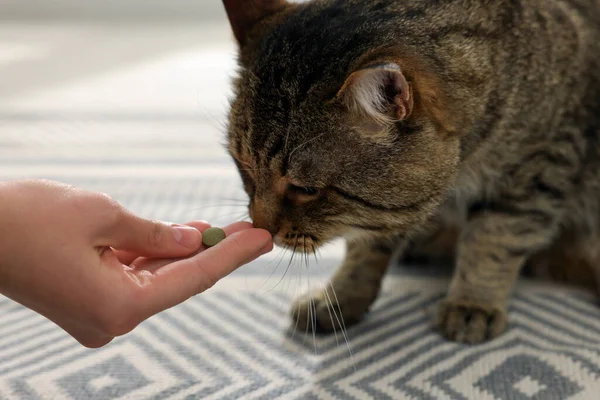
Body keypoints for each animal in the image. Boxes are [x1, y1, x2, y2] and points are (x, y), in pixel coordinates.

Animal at [220, 0, 600, 344]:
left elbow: (493, 239)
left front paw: (472, 301)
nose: (262, 227)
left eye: (305, 189)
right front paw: (339, 296)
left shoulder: (542, 165)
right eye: (243, 168)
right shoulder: (383, 211)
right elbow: (364, 244)